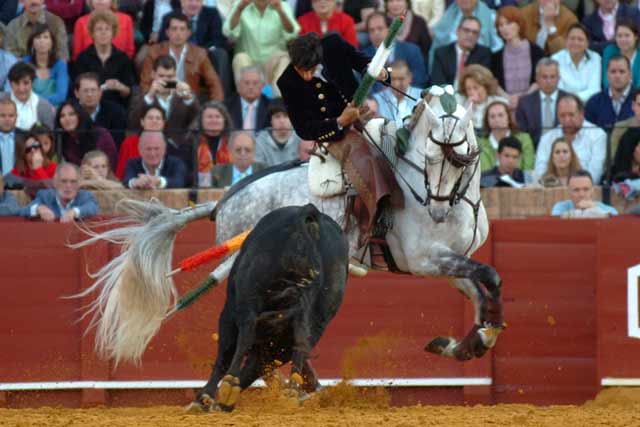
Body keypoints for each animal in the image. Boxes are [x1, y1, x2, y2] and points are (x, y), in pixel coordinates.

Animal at [192, 206, 348, 412]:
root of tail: (309, 213)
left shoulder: (230, 312)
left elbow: (226, 353)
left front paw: (207, 397)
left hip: (247, 299)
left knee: (243, 336)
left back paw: (227, 387)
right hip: (318, 319)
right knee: (299, 344)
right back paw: (291, 392)